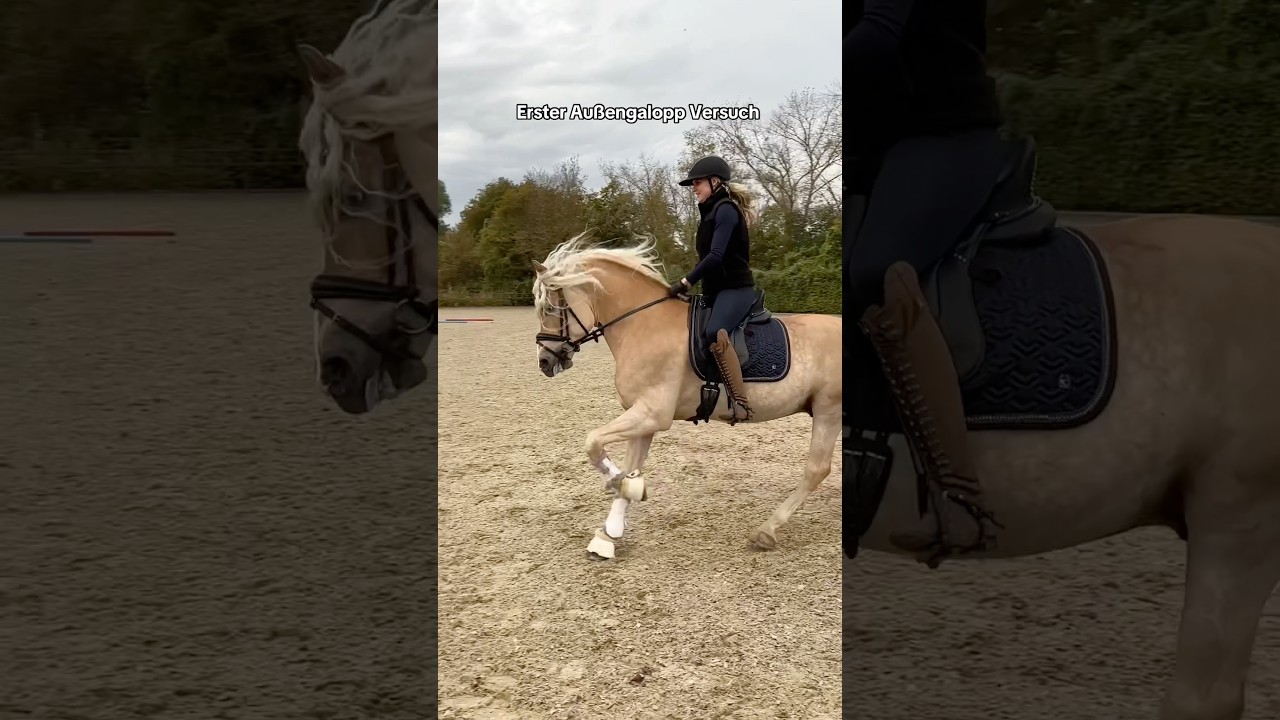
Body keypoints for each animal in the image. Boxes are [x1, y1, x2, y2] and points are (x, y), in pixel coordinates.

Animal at [530, 234, 843, 561]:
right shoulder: (642, 418)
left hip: (828, 409)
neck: (643, 324)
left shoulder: (652, 414)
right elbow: (629, 466)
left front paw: (622, 487)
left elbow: (593, 443)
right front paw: (609, 535)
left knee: (816, 469)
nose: (545, 362)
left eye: (550, 308)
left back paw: (766, 530)